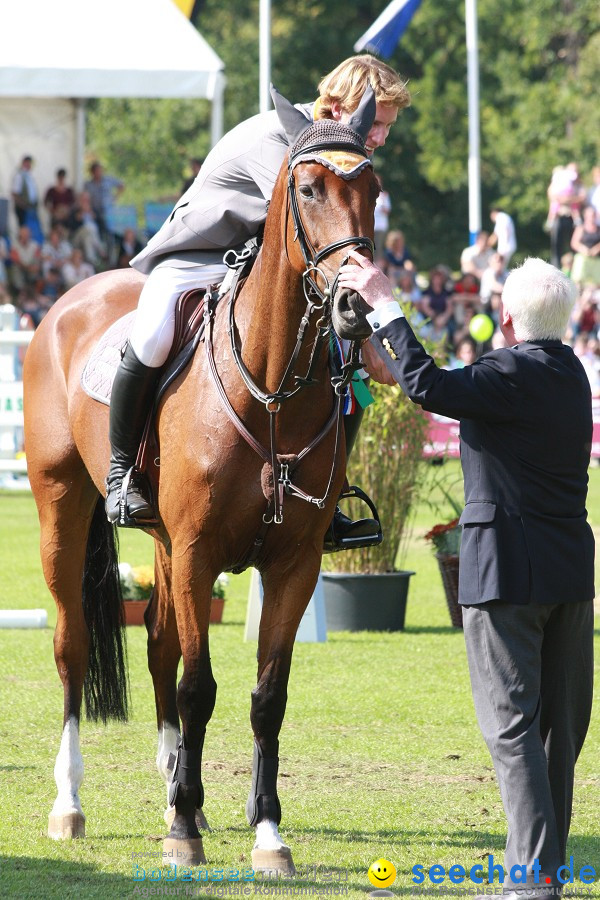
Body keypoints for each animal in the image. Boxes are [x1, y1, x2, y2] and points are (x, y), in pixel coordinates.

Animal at [24, 91, 380, 872]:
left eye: (373, 190)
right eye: (309, 189)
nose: (356, 307)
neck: (272, 388)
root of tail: (71, 297)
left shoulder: (293, 564)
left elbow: (266, 695)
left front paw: (265, 832)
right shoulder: (196, 553)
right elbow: (199, 687)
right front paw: (186, 831)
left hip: (158, 538)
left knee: (158, 641)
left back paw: (169, 792)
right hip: (62, 507)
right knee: (72, 648)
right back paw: (70, 803)